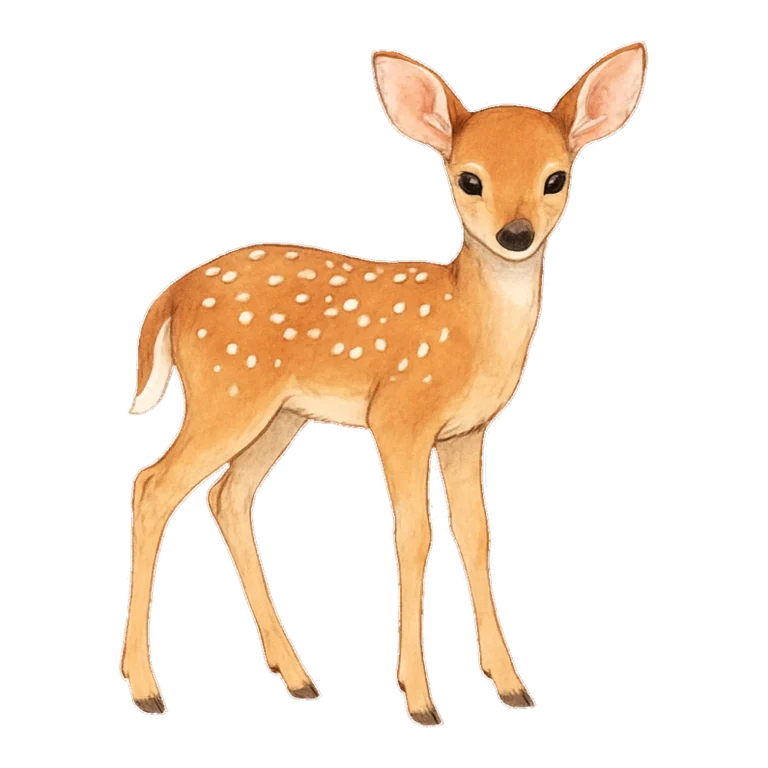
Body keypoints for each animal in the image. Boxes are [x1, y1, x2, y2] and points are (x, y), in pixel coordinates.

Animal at [121, 41, 649, 725]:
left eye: (555, 178)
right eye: (469, 179)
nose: (515, 234)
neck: (467, 328)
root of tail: (173, 295)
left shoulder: (465, 432)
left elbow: (476, 535)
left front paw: (511, 687)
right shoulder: (399, 415)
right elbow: (415, 534)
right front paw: (421, 701)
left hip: (279, 413)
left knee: (227, 495)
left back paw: (298, 676)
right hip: (226, 393)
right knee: (155, 484)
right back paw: (146, 688)